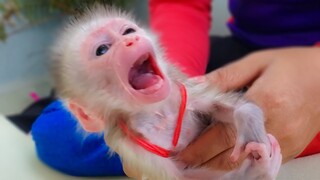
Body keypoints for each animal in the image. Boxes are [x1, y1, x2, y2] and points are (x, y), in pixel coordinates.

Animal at [52, 4, 282, 180]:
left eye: (128, 32)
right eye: (102, 50)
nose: (131, 41)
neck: (158, 111)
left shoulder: (181, 92)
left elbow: (225, 107)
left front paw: (249, 124)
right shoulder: (132, 147)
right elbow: (180, 177)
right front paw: (258, 170)